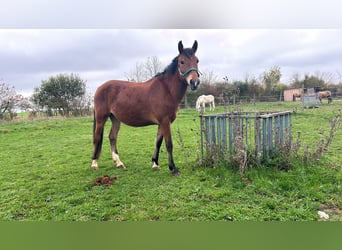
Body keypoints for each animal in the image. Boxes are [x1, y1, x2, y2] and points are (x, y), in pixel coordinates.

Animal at [91, 40, 200, 175]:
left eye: (197, 61)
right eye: (182, 61)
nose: (194, 82)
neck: (166, 90)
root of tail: (99, 88)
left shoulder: (162, 123)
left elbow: (158, 142)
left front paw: (155, 163)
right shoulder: (165, 122)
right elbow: (169, 144)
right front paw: (173, 168)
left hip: (115, 118)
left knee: (112, 137)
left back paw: (119, 163)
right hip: (101, 118)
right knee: (96, 138)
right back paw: (94, 164)